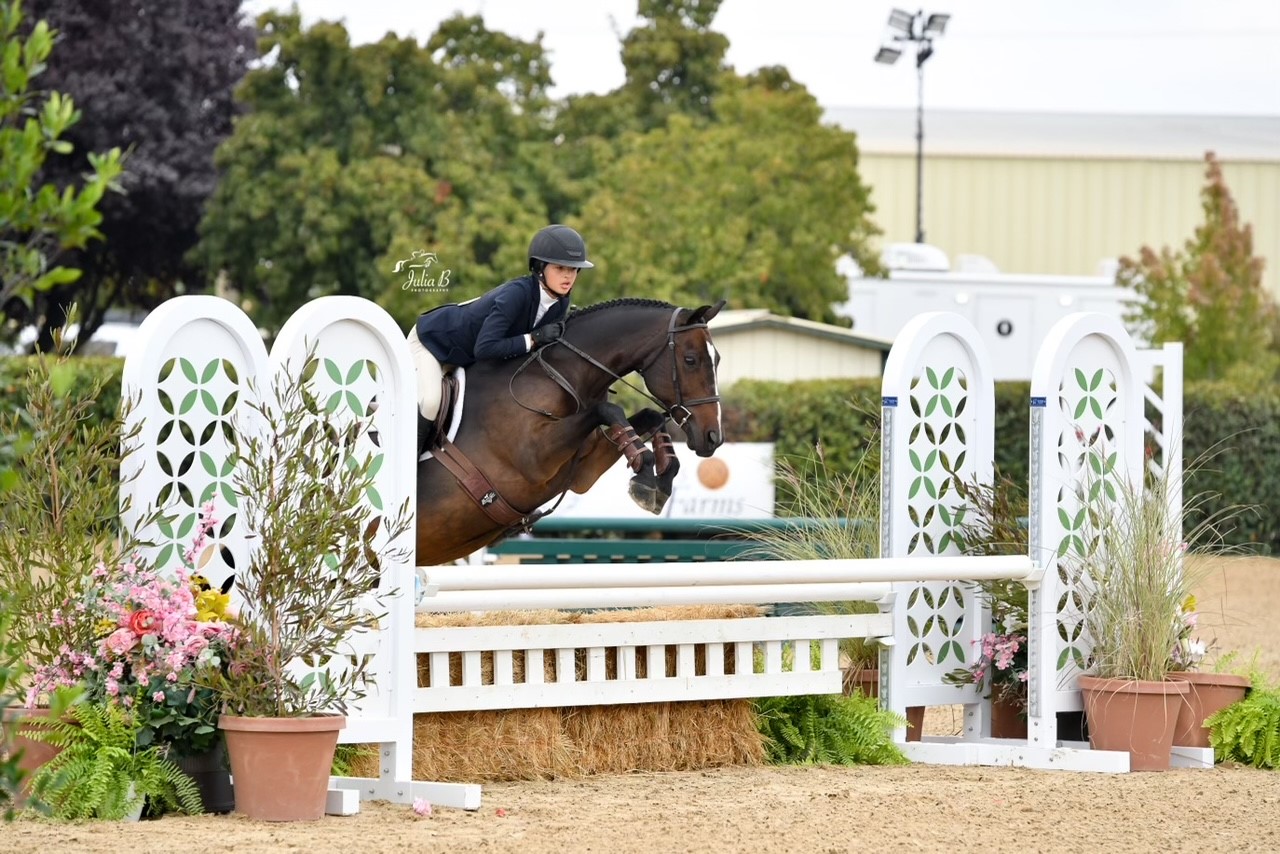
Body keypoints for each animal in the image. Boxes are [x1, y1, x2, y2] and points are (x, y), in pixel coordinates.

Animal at [415, 298, 726, 565]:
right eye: (690, 360)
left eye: (718, 360)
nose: (713, 437)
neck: (559, 374)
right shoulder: (533, 460)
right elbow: (609, 410)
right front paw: (647, 477)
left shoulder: (582, 471)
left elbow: (648, 416)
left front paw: (659, 480)